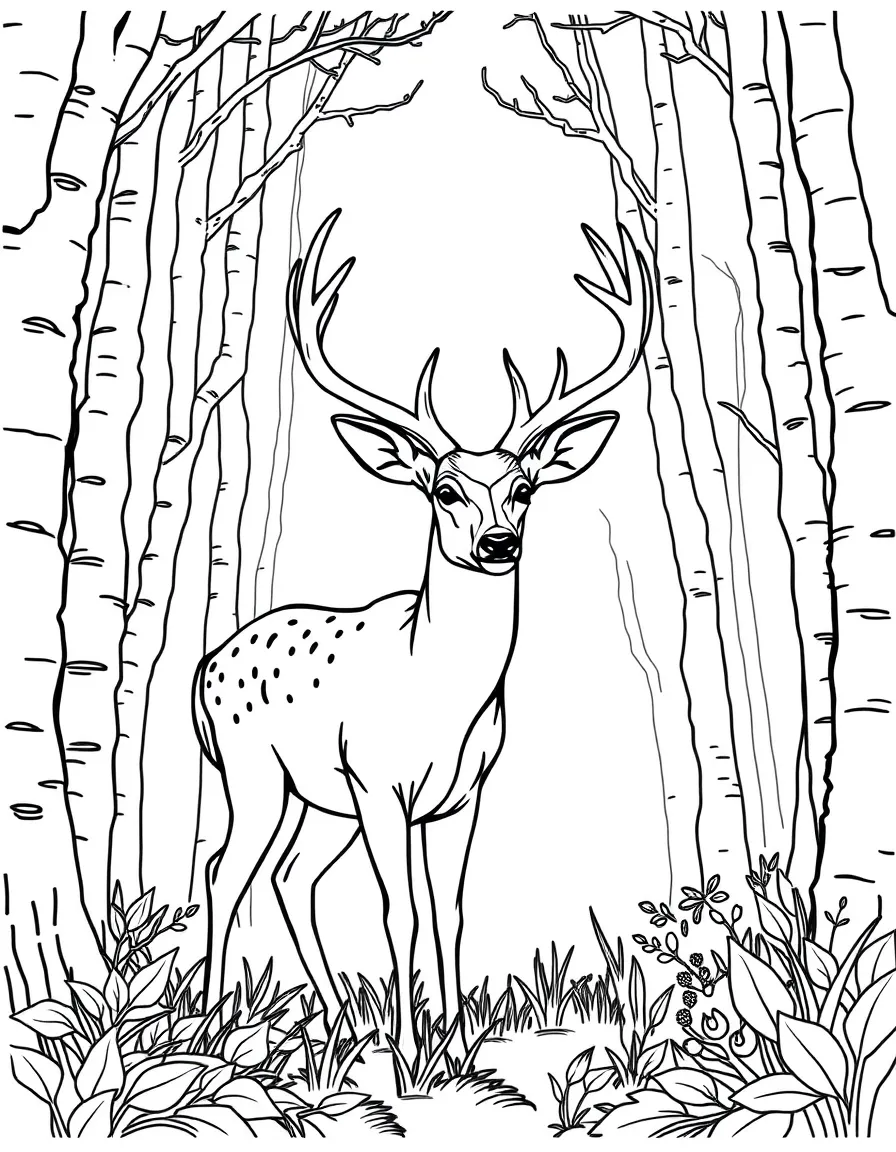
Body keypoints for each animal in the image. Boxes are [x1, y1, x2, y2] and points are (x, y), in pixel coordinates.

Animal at [194, 208, 650, 1059]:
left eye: (524, 488)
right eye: (443, 490)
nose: (499, 542)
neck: (441, 697)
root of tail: (202, 667)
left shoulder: (463, 792)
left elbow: (453, 909)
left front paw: (457, 1038)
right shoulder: (380, 784)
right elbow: (398, 910)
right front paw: (411, 1052)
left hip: (318, 800)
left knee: (290, 877)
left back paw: (338, 1019)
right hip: (255, 772)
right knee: (225, 871)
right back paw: (205, 1023)